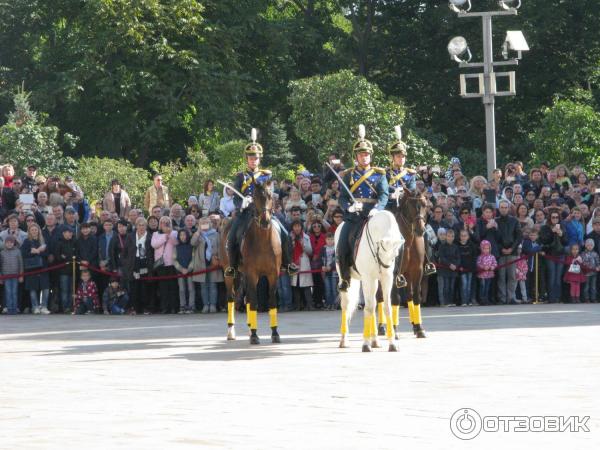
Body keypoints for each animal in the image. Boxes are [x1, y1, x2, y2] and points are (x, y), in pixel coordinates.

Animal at [226, 181, 282, 342]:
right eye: (256, 197)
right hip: (231, 273)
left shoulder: (273, 274)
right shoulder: (252, 274)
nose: (265, 221)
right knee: (231, 298)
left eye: (270, 196)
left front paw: (274, 332)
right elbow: (255, 302)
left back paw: (250, 326)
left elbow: (271, 301)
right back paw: (231, 331)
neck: (263, 241)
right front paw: (254, 335)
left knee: (247, 298)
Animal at [336, 209, 406, 354]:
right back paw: (344, 340)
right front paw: (365, 344)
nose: (384, 268)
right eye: (380, 250)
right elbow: (368, 308)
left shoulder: (387, 278)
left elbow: (386, 307)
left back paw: (375, 341)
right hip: (349, 280)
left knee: (373, 304)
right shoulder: (368, 277)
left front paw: (392, 344)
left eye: (396, 255)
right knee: (346, 305)